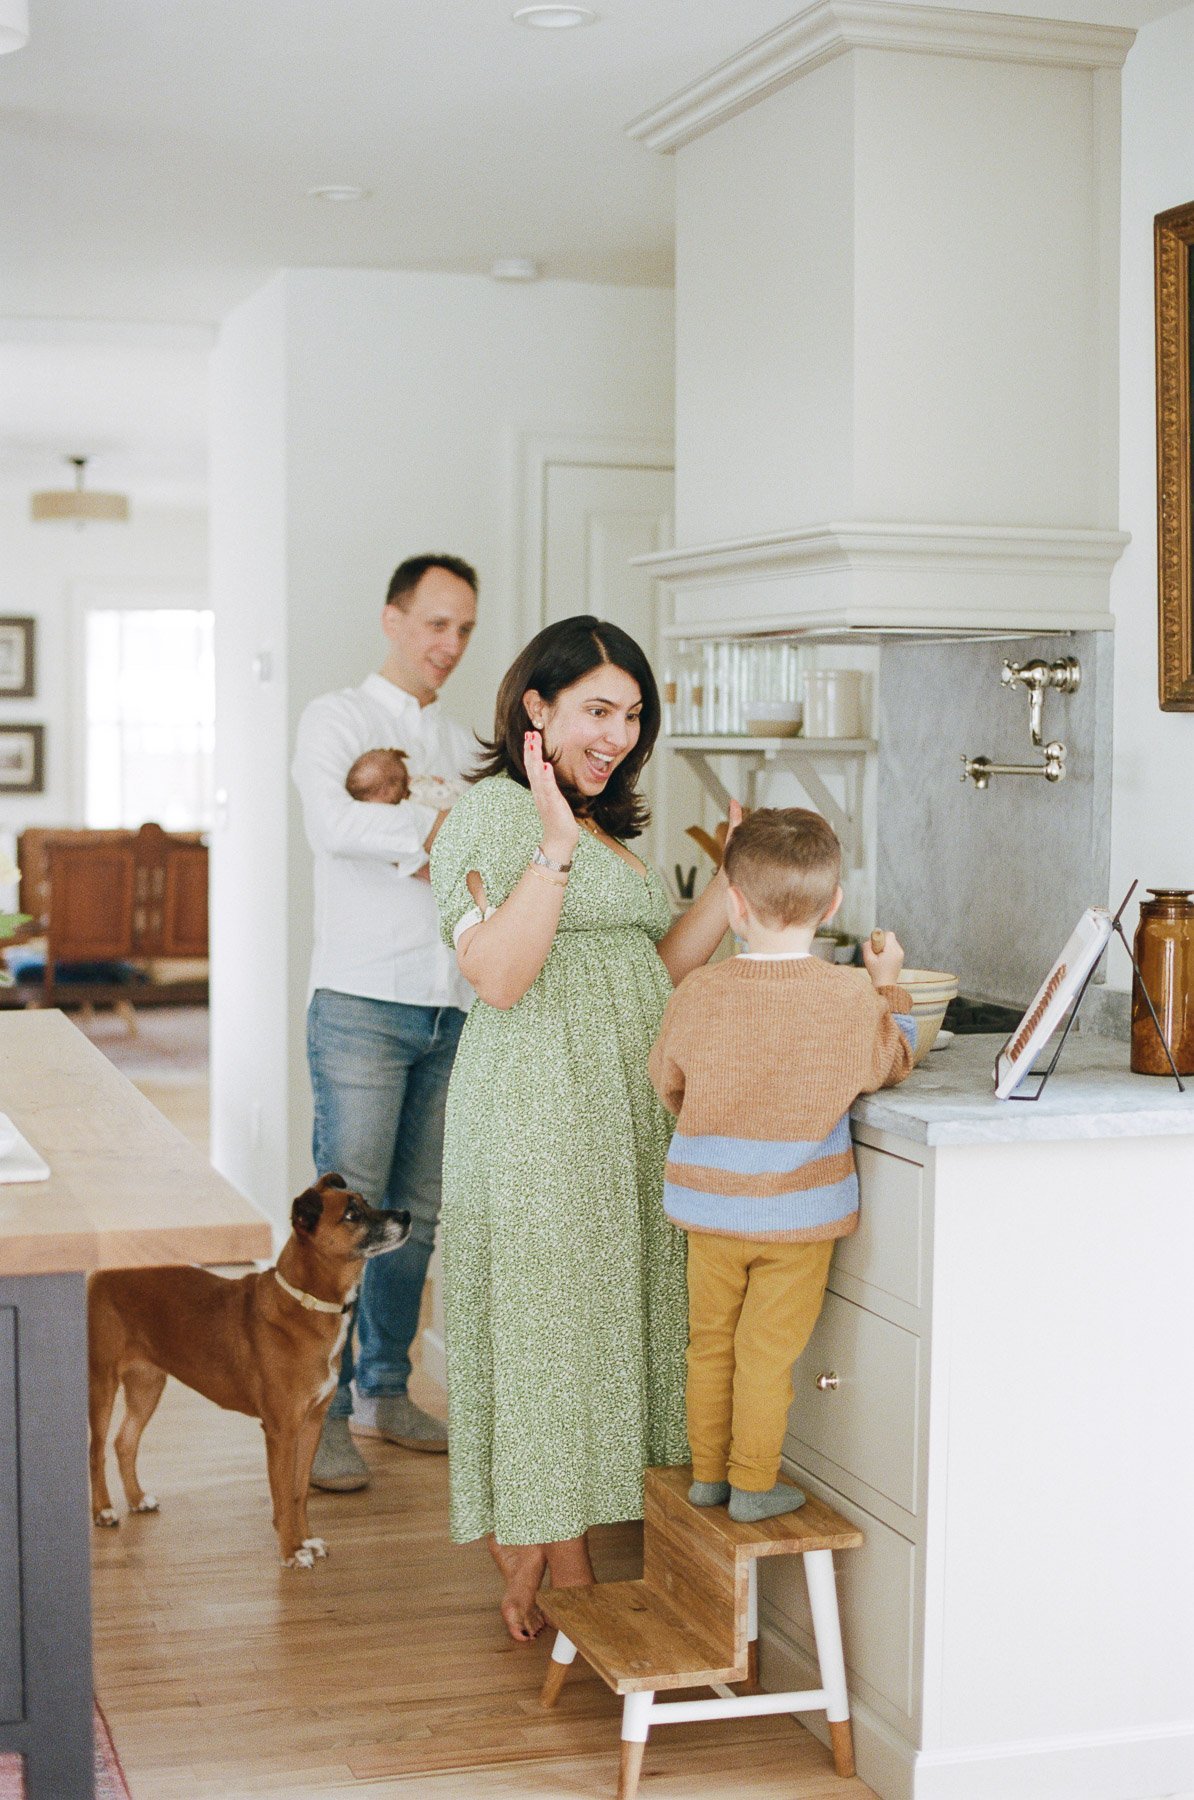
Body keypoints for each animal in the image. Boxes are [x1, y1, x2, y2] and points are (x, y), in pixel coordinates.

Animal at [86, 1173, 408, 1569]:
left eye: (366, 1202)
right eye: (351, 1214)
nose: (406, 1216)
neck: (306, 1303)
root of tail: (105, 1270)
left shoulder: (311, 1423)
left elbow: (299, 1492)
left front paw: (305, 1540)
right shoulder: (281, 1430)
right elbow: (283, 1494)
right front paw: (290, 1551)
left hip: (148, 1383)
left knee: (125, 1441)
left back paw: (136, 1498)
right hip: (102, 1381)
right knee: (96, 1449)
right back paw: (103, 1510)